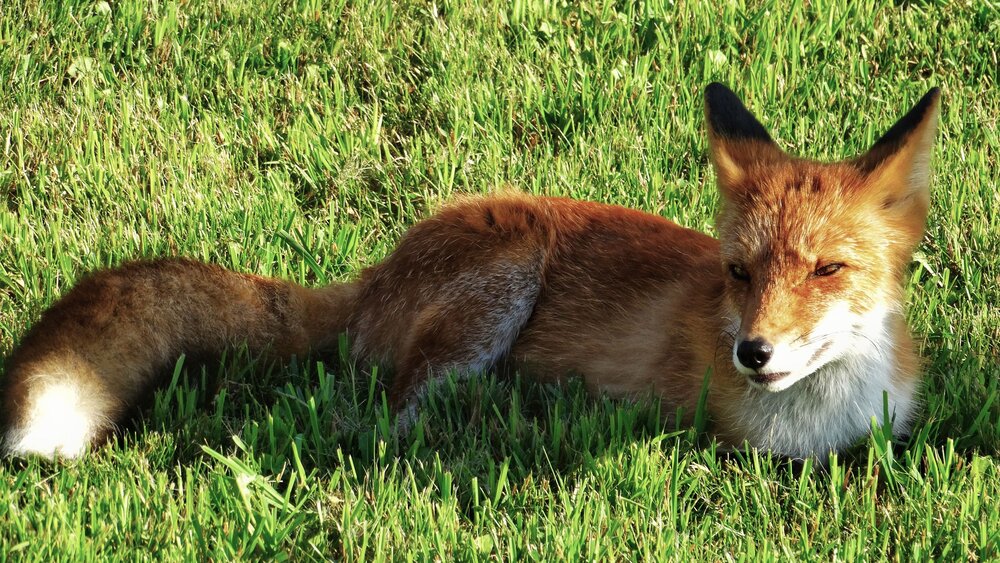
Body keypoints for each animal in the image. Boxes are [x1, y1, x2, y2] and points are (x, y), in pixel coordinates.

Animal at [0, 83, 939, 461]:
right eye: (739, 273)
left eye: (827, 269)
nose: (753, 352)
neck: (823, 419)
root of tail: (381, 266)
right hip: (503, 276)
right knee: (378, 416)